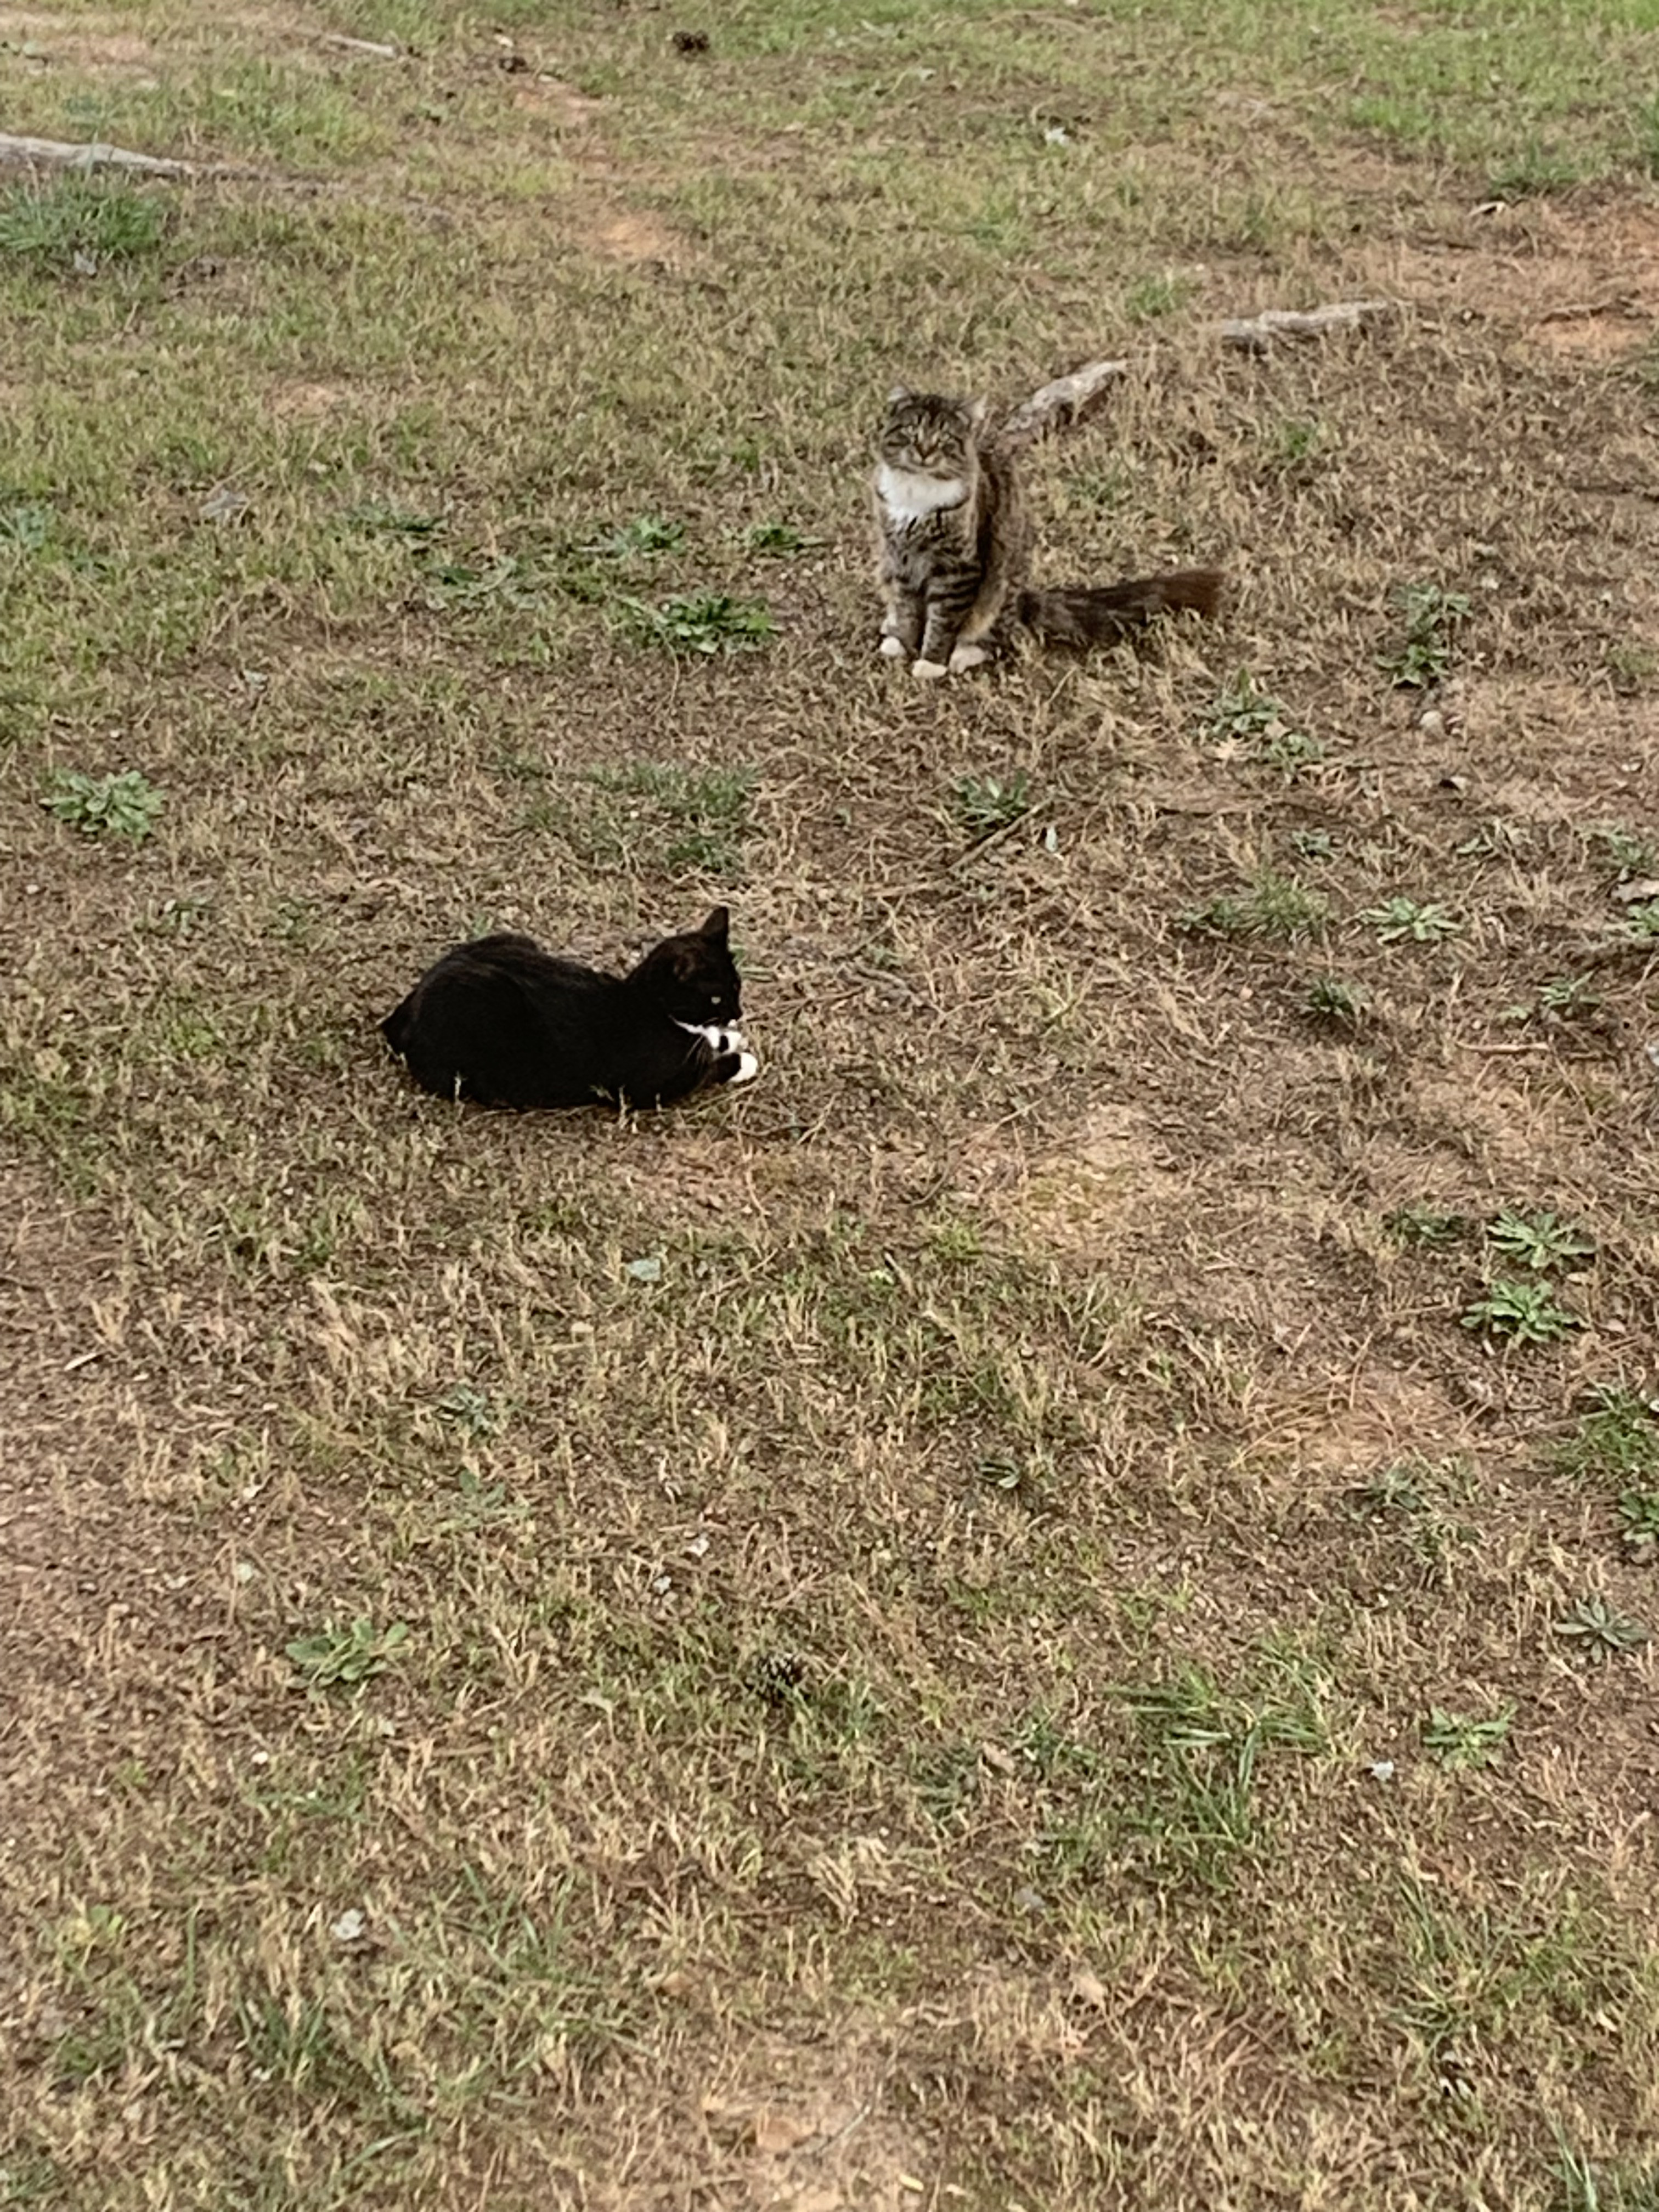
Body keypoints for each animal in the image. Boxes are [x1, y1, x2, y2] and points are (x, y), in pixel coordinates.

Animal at [380, 906, 758, 1111]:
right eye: (715, 998)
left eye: (737, 987)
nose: (738, 1013)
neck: (652, 1006)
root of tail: (403, 1013)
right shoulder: (649, 1090)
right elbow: (709, 1071)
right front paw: (742, 1060)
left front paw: (727, 1038)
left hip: (513, 938)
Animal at [873, 386, 1223, 680]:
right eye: (911, 431)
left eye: (944, 437)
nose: (924, 451)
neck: (916, 494)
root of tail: (1024, 599)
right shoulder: (901, 560)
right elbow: (908, 610)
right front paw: (902, 642)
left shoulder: (957, 569)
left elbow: (943, 620)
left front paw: (931, 662)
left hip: (1000, 587)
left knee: (998, 636)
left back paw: (965, 653)